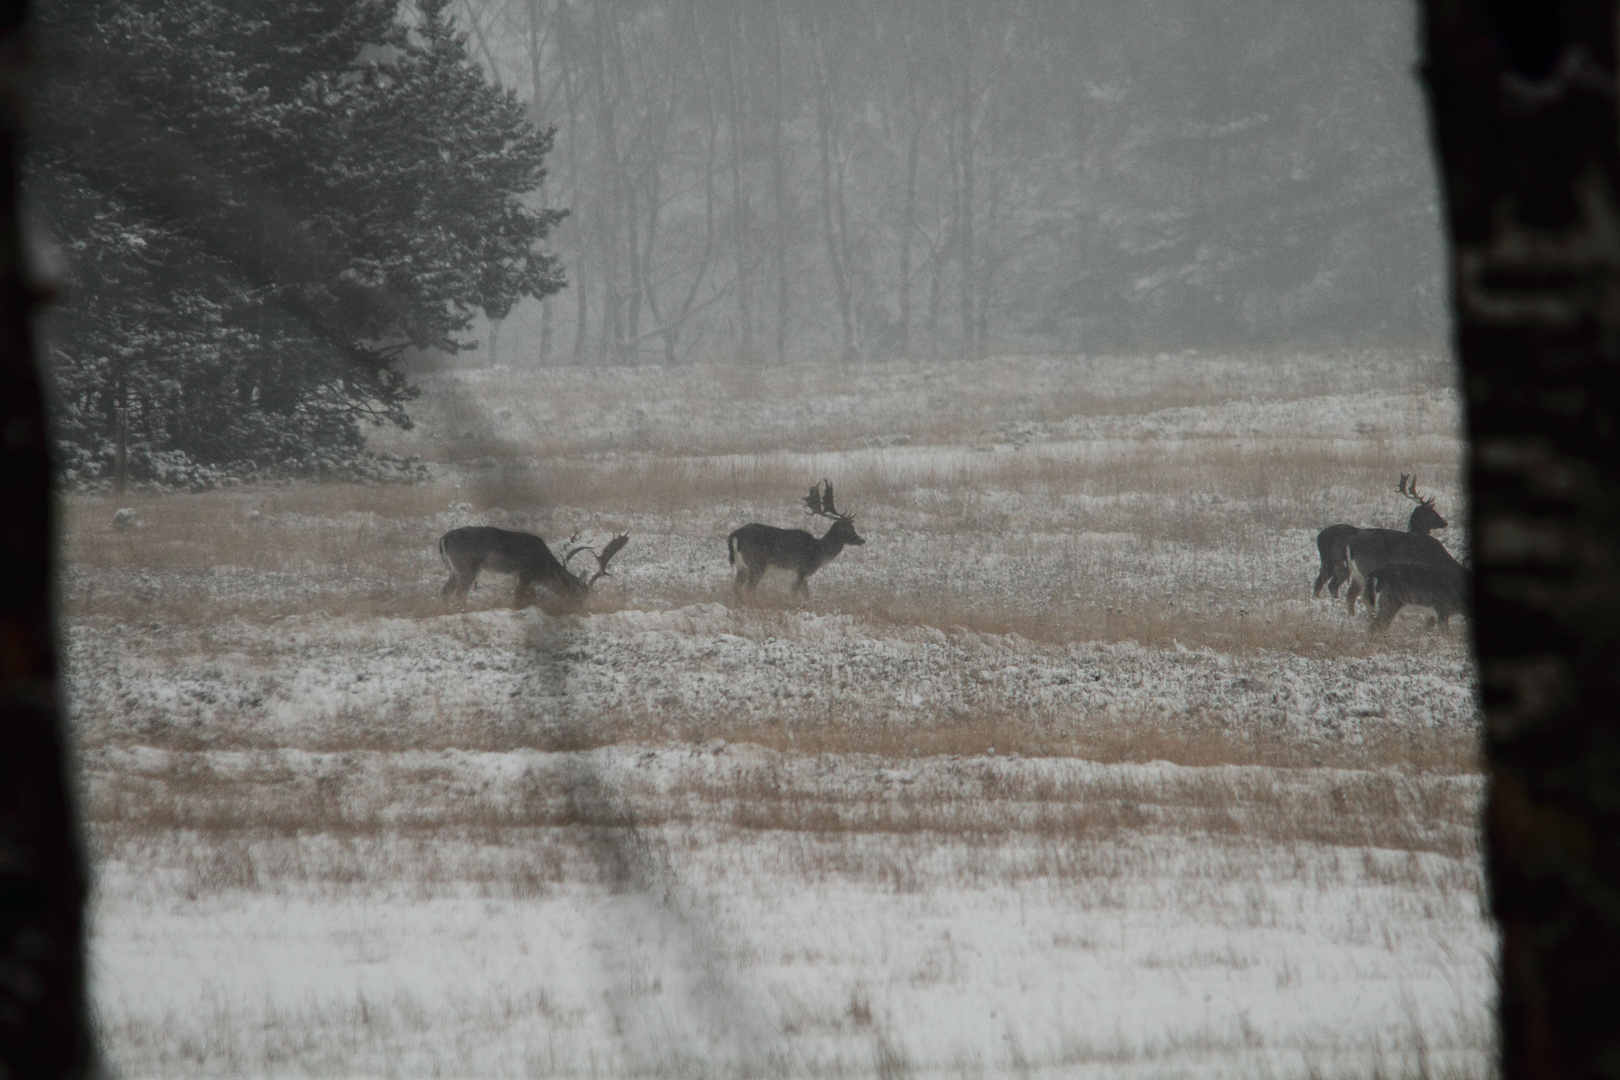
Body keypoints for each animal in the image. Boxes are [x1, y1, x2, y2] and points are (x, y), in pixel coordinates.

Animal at [440, 527, 628, 612]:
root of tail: (444, 538)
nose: (581, 610)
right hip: (467, 568)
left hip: (455, 571)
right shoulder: (525, 575)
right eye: (580, 594)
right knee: (459, 594)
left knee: (445, 592)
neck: (543, 569)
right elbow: (518, 599)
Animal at [729, 482, 868, 599]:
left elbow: (806, 595)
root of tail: (735, 535)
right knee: (749, 589)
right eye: (850, 528)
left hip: (741, 566)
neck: (820, 551)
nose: (861, 540)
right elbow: (795, 593)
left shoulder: (803, 576)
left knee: (736, 587)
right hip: (756, 564)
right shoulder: (802, 570)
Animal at [1315, 476, 1458, 612]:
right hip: (1351, 566)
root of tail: (1319, 537)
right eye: (1432, 512)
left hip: (1339, 566)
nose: (1444, 522)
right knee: (1331, 586)